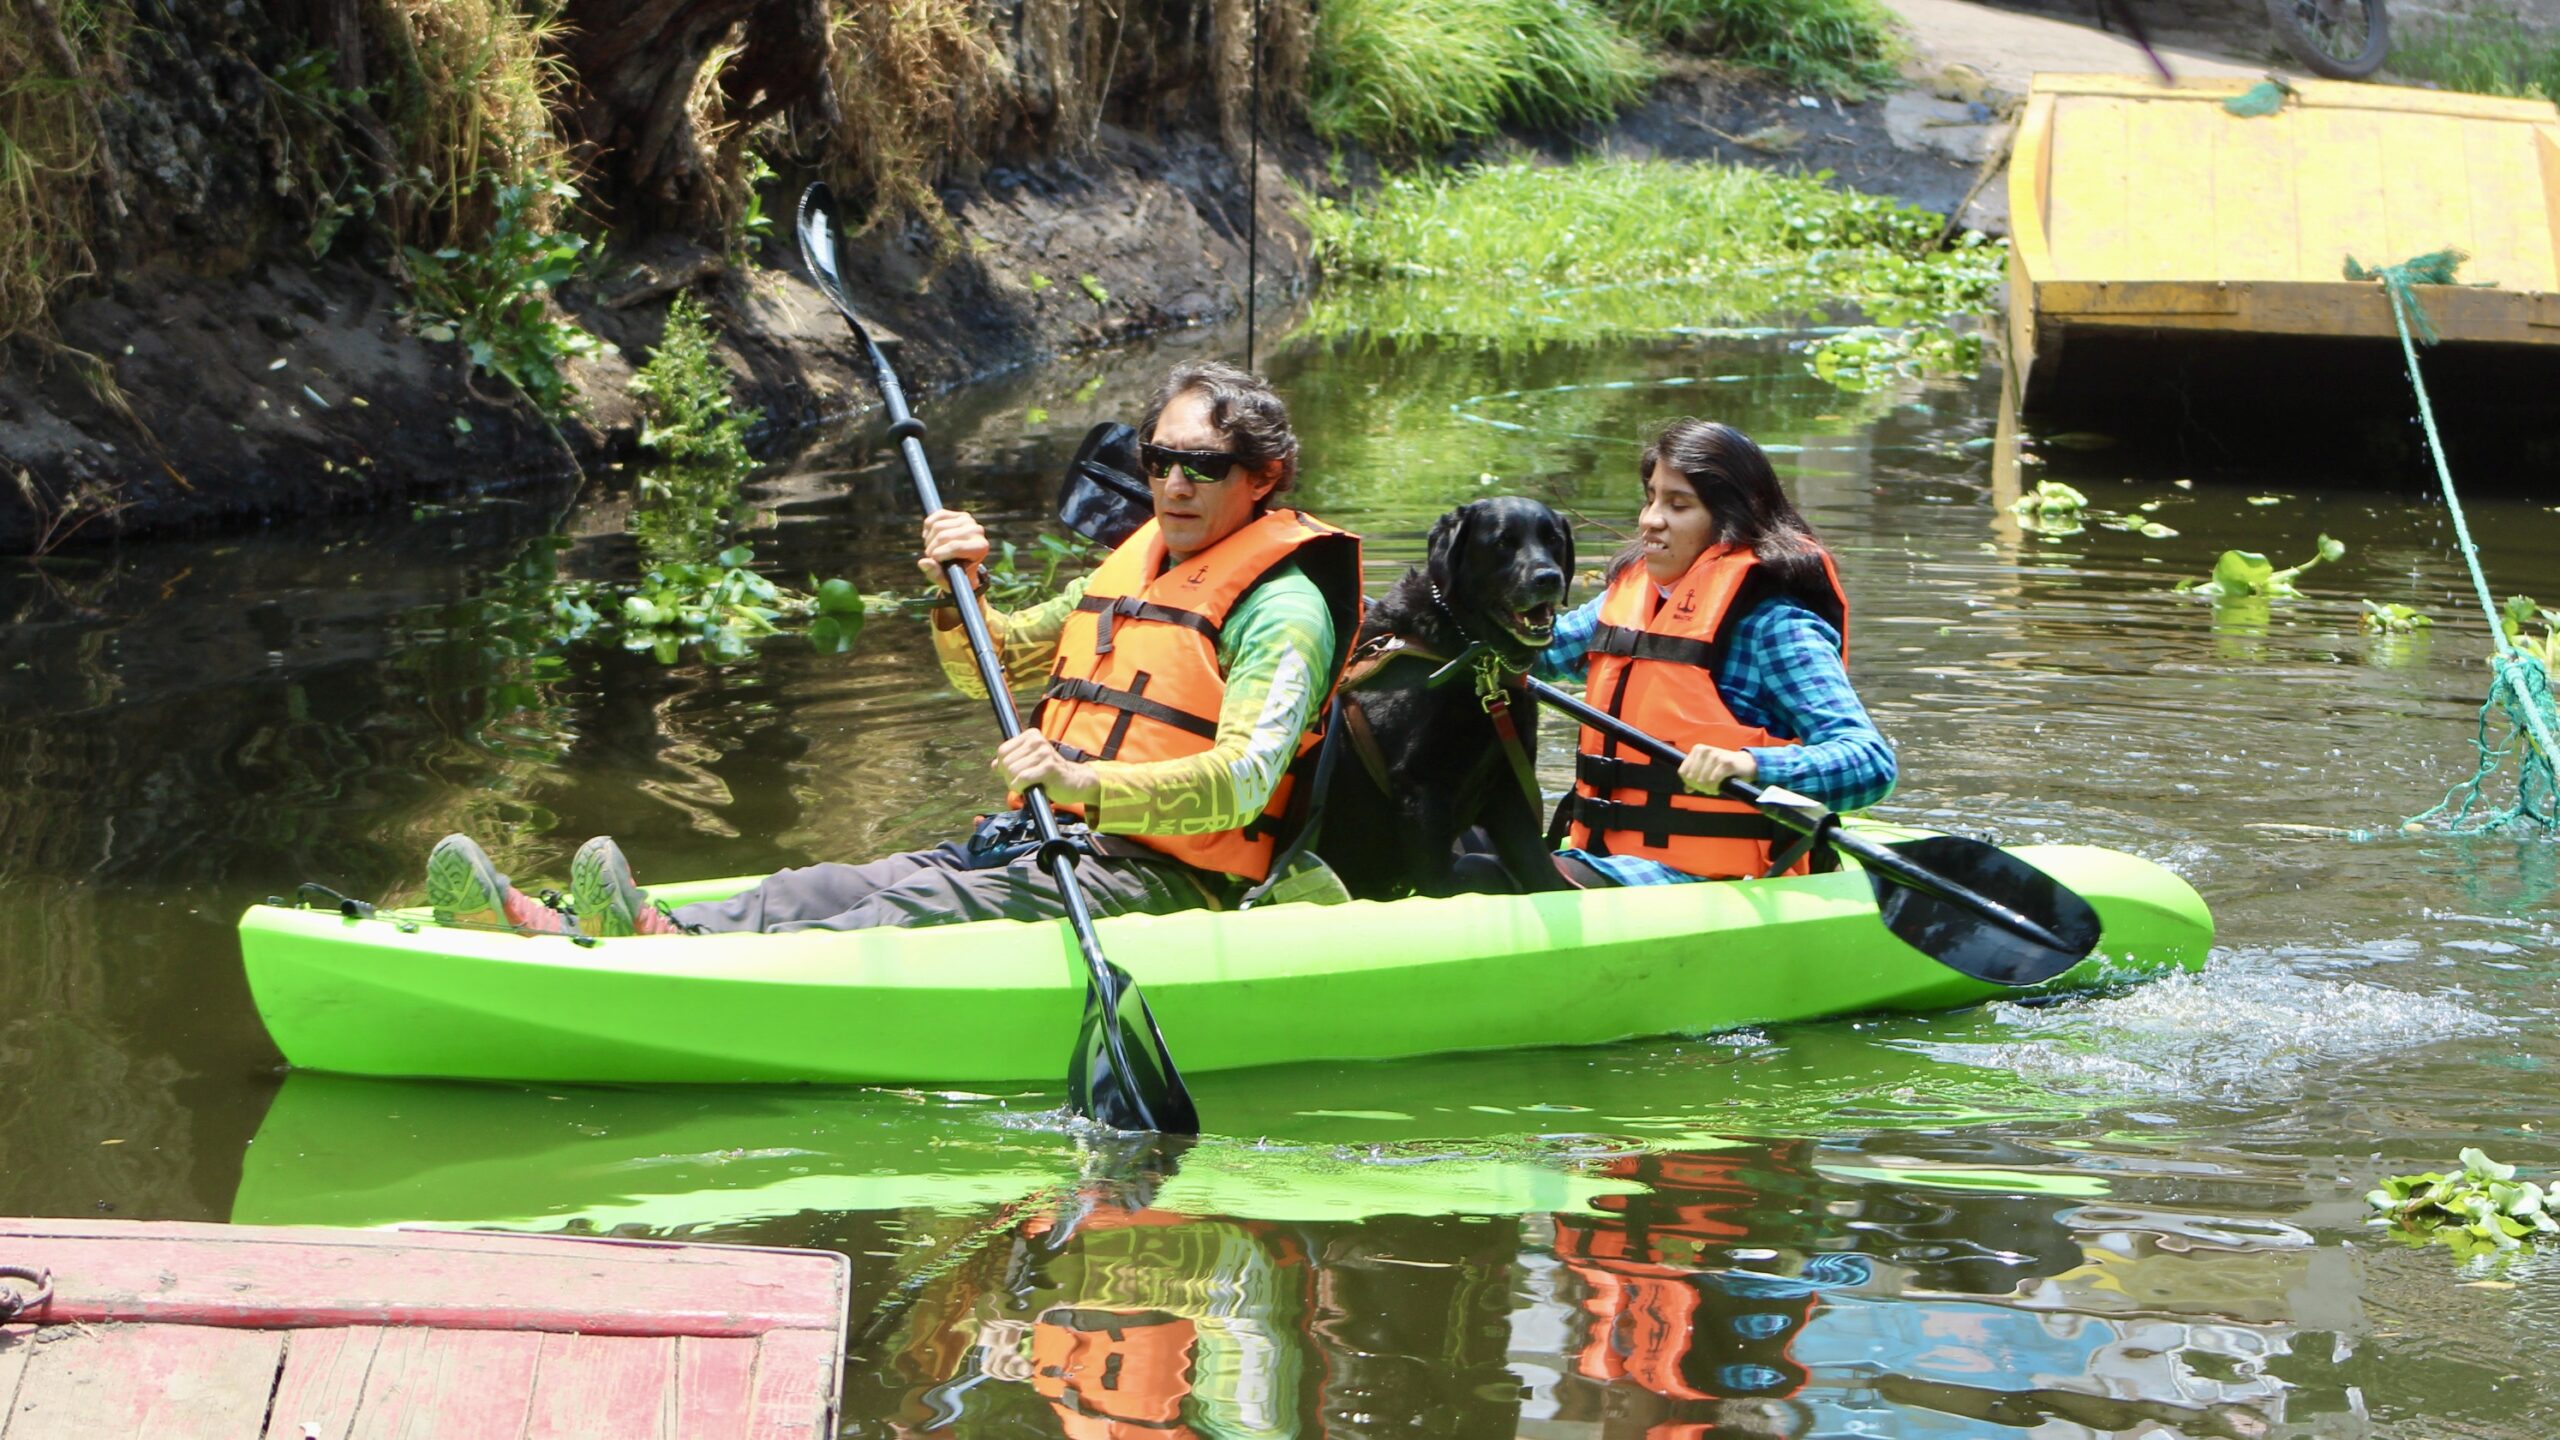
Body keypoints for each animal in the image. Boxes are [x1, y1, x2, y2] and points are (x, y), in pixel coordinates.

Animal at [1320, 497, 1576, 896]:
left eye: (1553, 540)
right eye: (1503, 542)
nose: (1548, 578)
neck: (1475, 660)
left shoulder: (1509, 791)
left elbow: (1542, 873)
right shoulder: (1421, 791)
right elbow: (1441, 886)